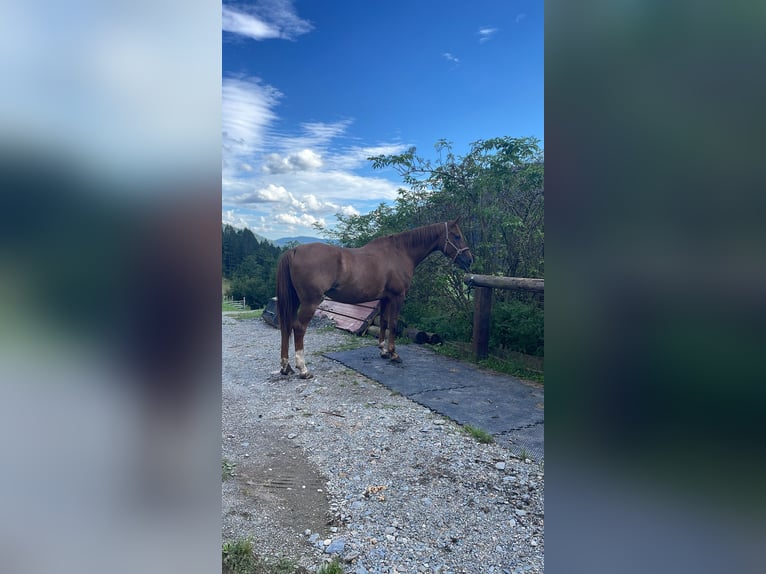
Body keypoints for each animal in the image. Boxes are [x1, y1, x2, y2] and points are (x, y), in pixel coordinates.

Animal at [276, 219, 474, 378]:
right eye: (457, 236)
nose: (469, 259)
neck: (399, 252)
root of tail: (294, 250)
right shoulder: (397, 297)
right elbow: (393, 323)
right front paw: (394, 354)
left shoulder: (385, 298)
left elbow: (384, 323)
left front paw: (383, 351)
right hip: (310, 302)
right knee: (299, 328)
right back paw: (303, 369)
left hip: (295, 301)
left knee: (286, 327)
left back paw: (286, 368)